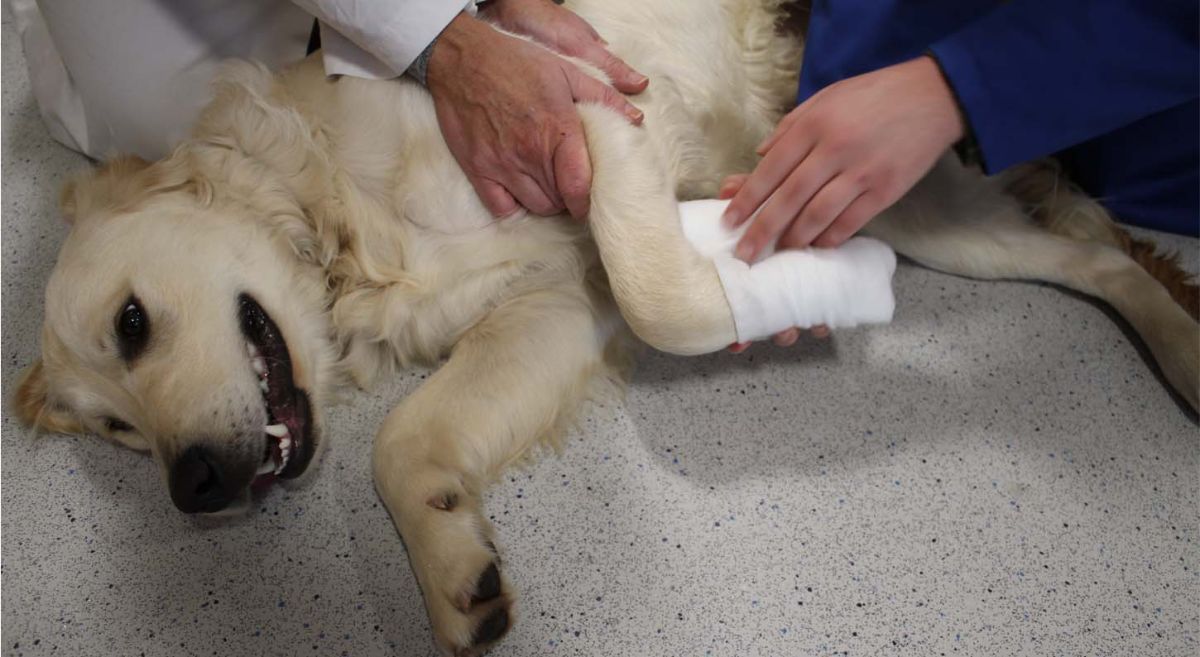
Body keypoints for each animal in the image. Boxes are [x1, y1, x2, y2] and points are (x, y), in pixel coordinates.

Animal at [11, 2, 1200, 652]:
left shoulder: (596, 111)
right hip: (900, 190)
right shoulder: (547, 307)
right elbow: (407, 442)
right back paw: (1184, 349)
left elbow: (653, 286)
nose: (194, 487)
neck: (341, 214)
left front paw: (730, 287)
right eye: (114, 432)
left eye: (131, 322)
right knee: (1098, 257)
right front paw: (455, 567)